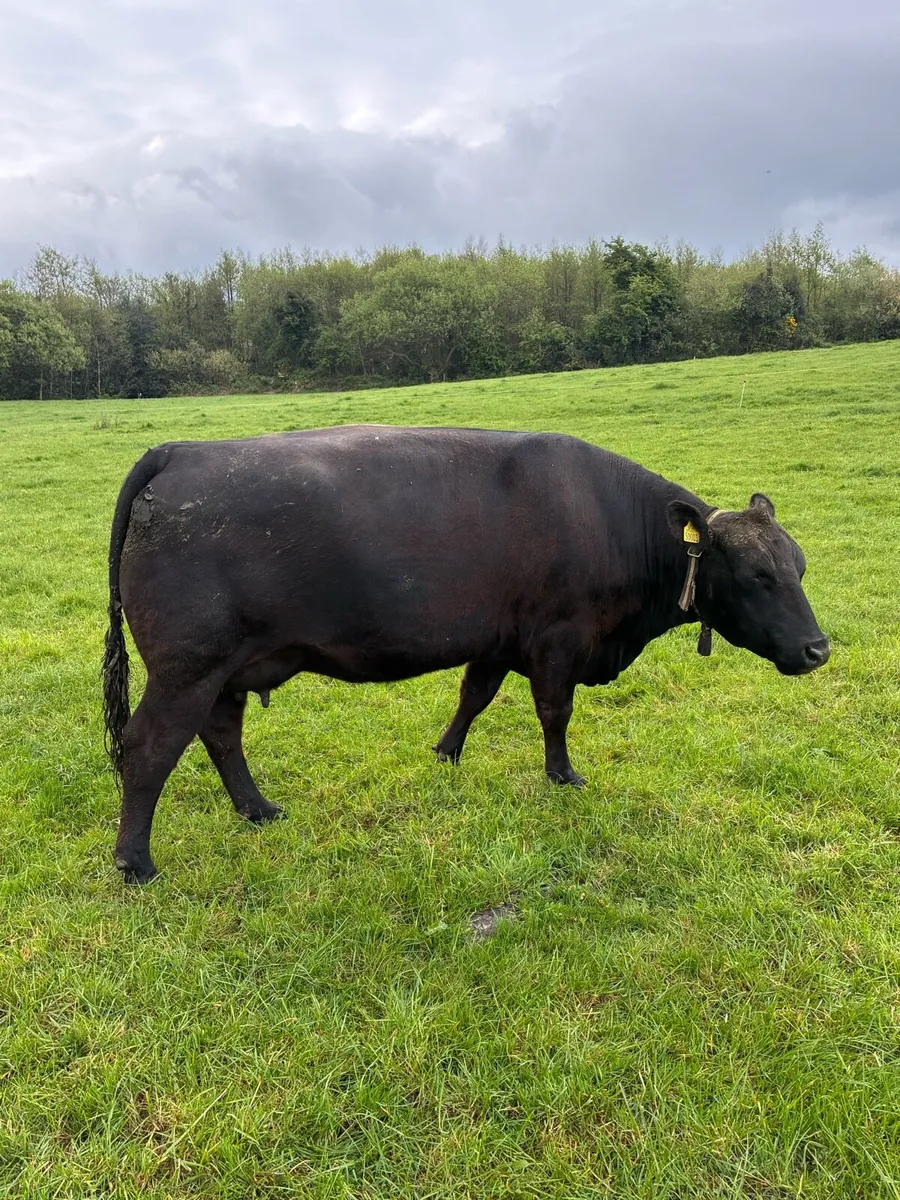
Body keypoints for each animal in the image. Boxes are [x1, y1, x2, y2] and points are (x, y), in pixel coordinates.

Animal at [102, 425, 830, 883]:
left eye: (798, 565)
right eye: (756, 576)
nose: (818, 648)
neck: (610, 519)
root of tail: (178, 451)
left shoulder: (500, 638)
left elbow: (474, 696)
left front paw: (446, 753)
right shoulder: (559, 638)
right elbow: (554, 712)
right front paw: (562, 775)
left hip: (223, 670)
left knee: (222, 736)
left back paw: (257, 809)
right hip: (187, 668)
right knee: (150, 748)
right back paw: (136, 862)